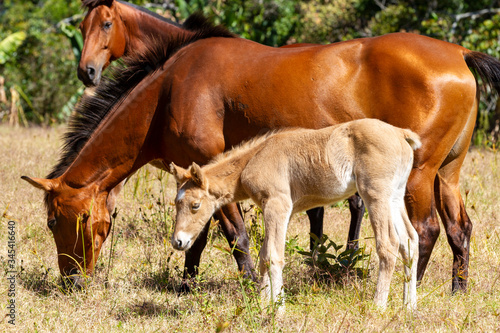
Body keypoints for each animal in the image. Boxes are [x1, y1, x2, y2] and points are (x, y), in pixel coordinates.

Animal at [24, 12, 500, 290]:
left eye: (57, 221)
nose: (71, 282)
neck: (170, 89)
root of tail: (459, 52)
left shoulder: (215, 173)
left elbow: (234, 235)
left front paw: (253, 285)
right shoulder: (198, 178)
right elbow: (198, 234)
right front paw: (187, 283)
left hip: (417, 175)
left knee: (425, 231)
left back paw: (406, 288)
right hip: (446, 174)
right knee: (458, 229)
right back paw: (457, 289)